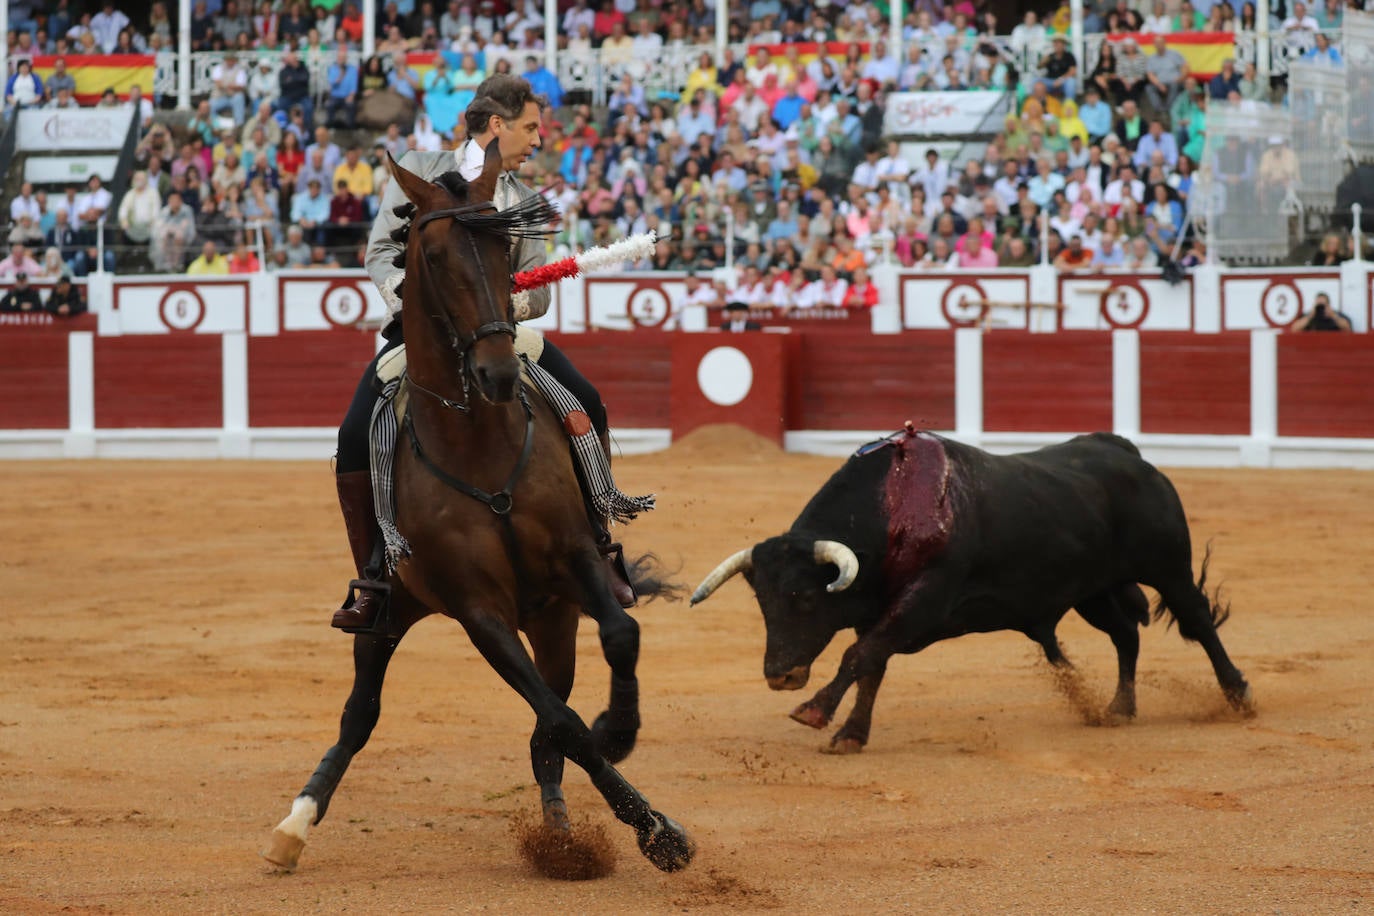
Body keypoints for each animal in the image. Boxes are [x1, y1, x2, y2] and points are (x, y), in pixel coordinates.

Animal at [265, 141, 697, 873]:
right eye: (434, 256)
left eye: (503, 251)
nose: (496, 370)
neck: (480, 446)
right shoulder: (478, 609)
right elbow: (561, 720)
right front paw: (658, 832)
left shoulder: (575, 562)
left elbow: (618, 641)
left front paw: (619, 734)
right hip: (390, 610)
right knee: (361, 714)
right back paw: (294, 825)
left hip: (551, 618)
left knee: (549, 714)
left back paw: (558, 830)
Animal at [692, 431, 1253, 752]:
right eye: (762, 603)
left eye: (807, 598)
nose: (780, 676)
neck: (892, 508)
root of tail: (1128, 453)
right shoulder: (880, 611)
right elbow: (872, 665)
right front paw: (850, 735)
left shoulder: (924, 598)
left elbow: (860, 656)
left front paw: (813, 711)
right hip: (1092, 590)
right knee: (1124, 635)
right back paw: (1117, 709)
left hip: (1168, 568)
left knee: (1198, 621)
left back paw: (1238, 696)